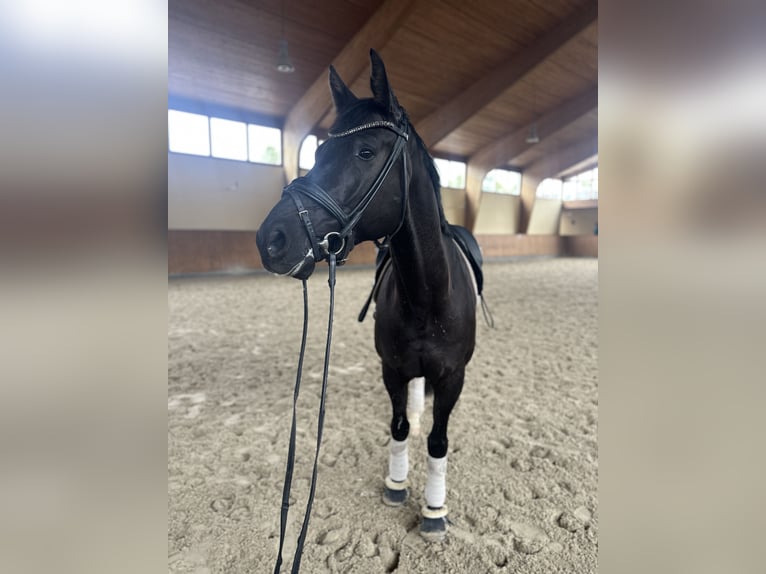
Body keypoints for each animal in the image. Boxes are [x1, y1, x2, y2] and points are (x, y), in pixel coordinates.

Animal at [256, 49, 479, 542]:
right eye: (318, 152)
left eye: (365, 151)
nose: (271, 240)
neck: (428, 296)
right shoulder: (392, 369)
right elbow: (399, 427)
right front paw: (396, 484)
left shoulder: (452, 378)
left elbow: (438, 440)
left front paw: (434, 509)